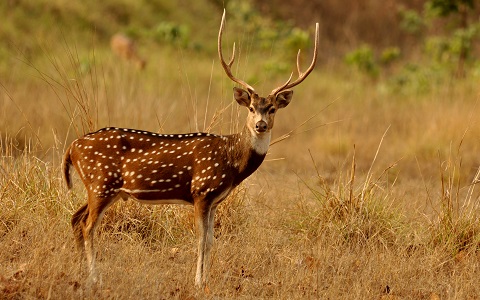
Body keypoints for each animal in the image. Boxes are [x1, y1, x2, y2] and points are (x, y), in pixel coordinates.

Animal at [63, 11, 318, 288]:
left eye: (272, 109)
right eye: (251, 108)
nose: (260, 125)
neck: (231, 160)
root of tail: (72, 148)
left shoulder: (215, 200)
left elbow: (211, 241)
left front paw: (205, 279)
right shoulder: (201, 191)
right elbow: (200, 240)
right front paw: (198, 281)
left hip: (101, 188)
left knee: (76, 219)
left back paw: (80, 271)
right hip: (101, 183)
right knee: (88, 226)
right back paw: (94, 278)